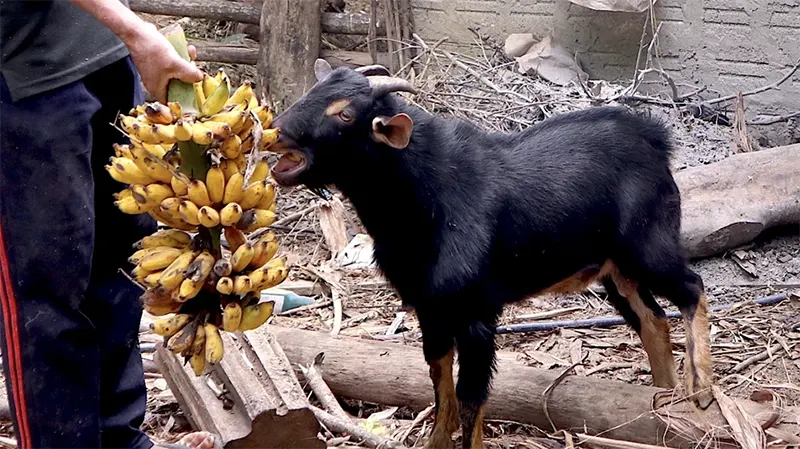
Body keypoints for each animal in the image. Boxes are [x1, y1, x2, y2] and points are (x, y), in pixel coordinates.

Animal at [268, 59, 712, 448]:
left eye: (345, 115)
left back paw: (700, 392)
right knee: (653, 319)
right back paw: (661, 402)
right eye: (313, 91)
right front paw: (434, 443)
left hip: (648, 245)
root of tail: (655, 139)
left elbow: (471, 397)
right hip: (615, 268)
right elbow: (439, 381)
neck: (424, 199)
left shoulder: (476, 314)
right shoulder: (431, 308)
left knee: (692, 288)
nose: (276, 131)